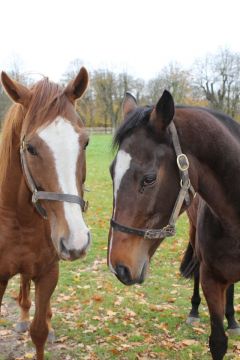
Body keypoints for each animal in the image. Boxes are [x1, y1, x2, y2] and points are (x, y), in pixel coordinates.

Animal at [0, 68, 90, 360]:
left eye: (85, 143)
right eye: (30, 147)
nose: (76, 240)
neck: (21, 220)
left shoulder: (49, 271)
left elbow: (38, 331)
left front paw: (44, 325)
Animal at [108, 92, 240, 360]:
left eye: (149, 179)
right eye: (110, 172)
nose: (119, 267)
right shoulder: (212, 280)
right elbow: (217, 341)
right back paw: (194, 312)